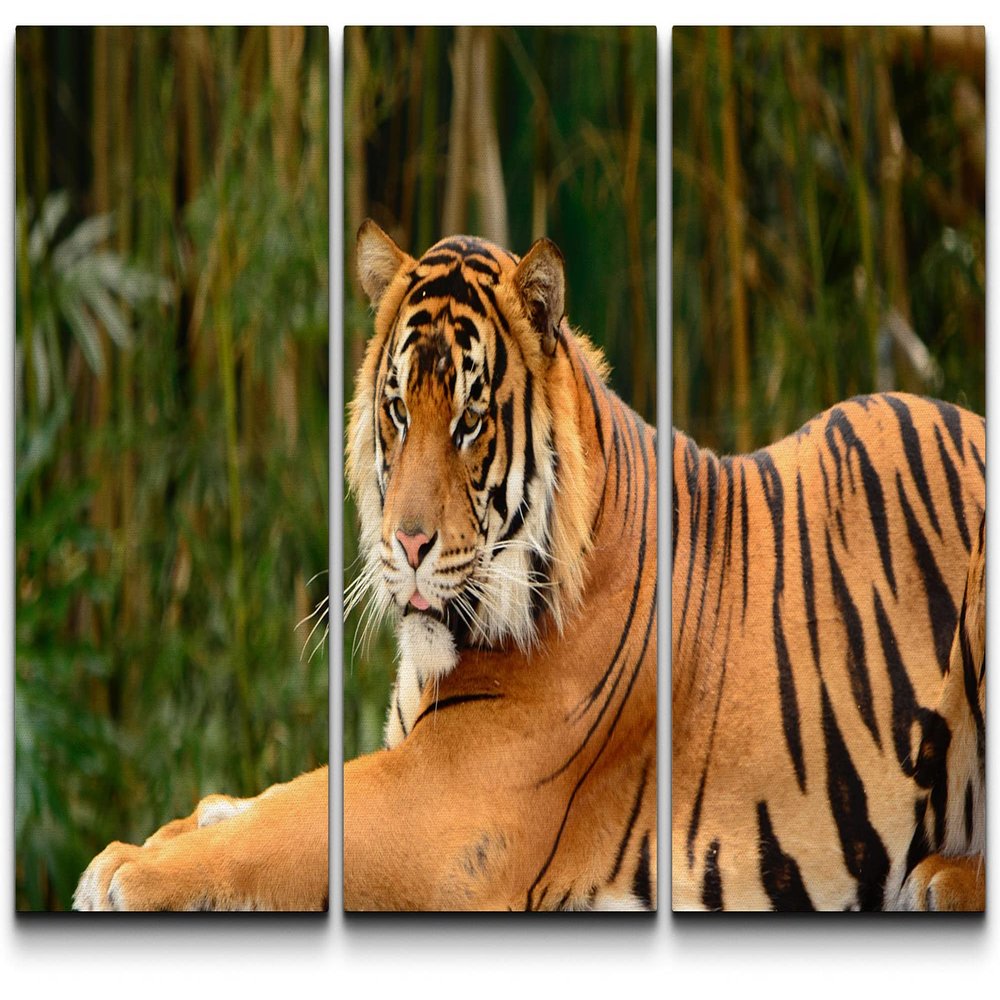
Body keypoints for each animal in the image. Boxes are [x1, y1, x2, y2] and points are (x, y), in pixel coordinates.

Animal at [73, 222, 657, 911]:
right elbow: (278, 796)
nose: (408, 544)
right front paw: (170, 833)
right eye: (399, 411)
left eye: (469, 421)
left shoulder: (452, 795)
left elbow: (293, 822)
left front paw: (129, 870)